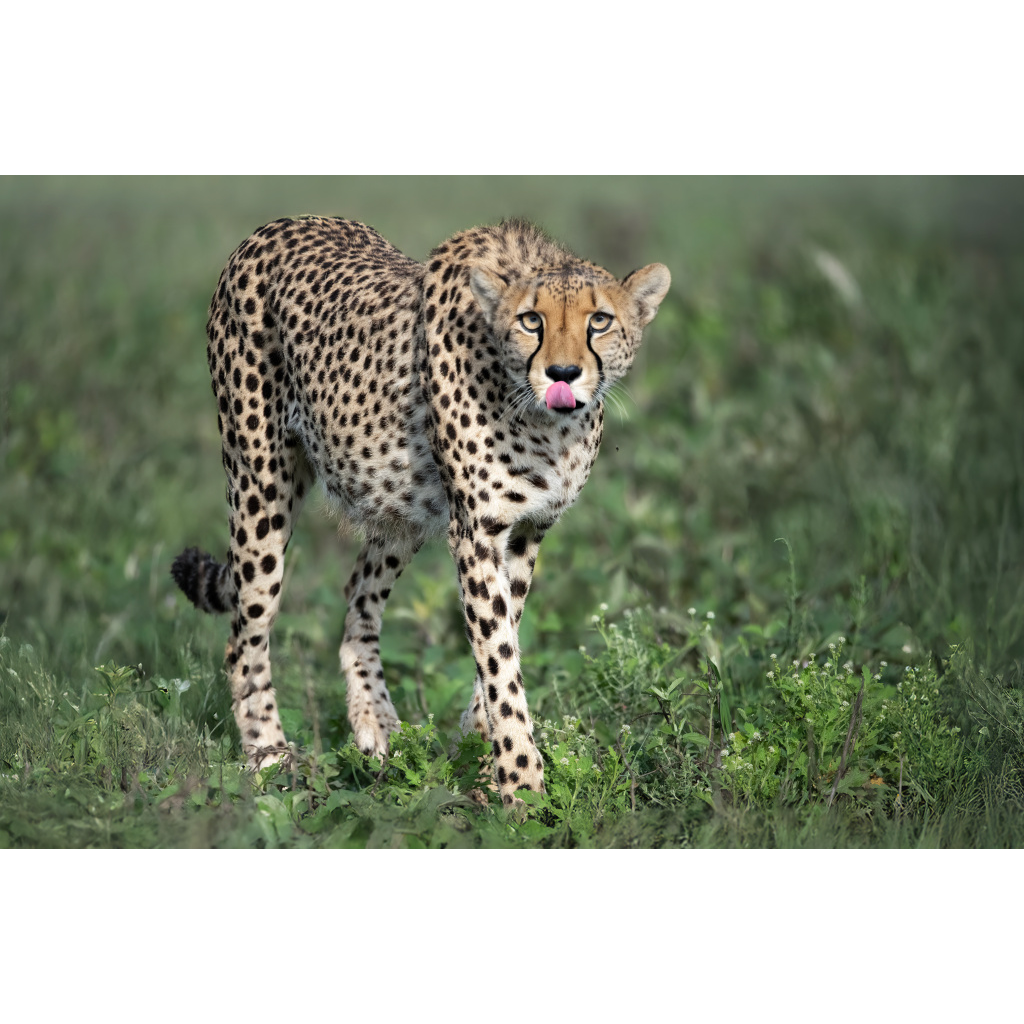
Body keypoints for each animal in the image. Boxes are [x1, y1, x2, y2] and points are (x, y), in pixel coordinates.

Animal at [171, 215, 670, 809]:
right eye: (531, 321)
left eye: (600, 321)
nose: (563, 372)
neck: (549, 424)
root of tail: (276, 225)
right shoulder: (477, 532)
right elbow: (499, 657)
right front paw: (523, 787)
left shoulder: (526, 531)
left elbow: (500, 646)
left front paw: (483, 762)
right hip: (259, 485)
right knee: (245, 633)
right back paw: (269, 755)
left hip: (398, 509)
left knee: (358, 598)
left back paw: (375, 723)